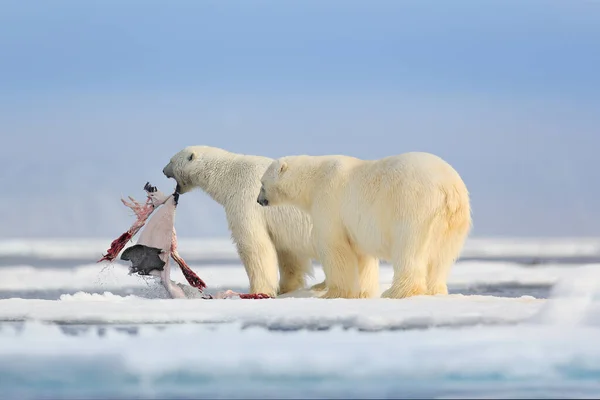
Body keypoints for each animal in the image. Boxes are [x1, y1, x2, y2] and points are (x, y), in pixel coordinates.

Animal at [159, 147, 318, 296]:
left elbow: (254, 246)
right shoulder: (282, 228)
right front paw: (286, 289)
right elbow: (289, 254)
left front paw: (258, 291)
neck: (228, 175)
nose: (163, 170)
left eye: (171, 160)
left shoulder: (246, 199)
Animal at [255, 152, 472, 298]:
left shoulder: (329, 201)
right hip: (453, 222)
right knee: (442, 258)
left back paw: (396, 292)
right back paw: (436, 290)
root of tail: (449, 188)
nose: (258, 200)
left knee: (409, 249)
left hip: (413, 207)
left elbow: (336, 248)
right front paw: (363, 293)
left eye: (262, 183)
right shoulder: (356, 227)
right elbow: (361, 255)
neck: (313, 179)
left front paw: (333, 293)